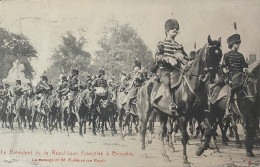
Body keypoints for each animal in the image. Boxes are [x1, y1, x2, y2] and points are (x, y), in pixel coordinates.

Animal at [137, 35, 222, 166]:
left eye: (220, 55)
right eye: (210, 54)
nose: (214, 78)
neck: (191, 85)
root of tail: (143, 85)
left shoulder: (200, 113)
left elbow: (209, 130)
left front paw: (200, 150)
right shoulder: (183, 117)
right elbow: (184, 137)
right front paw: (185, 159)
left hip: (162, 113)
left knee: (161, 132)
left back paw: (165, 155)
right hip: (145, 112)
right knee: (143, 129)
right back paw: (143, 152)